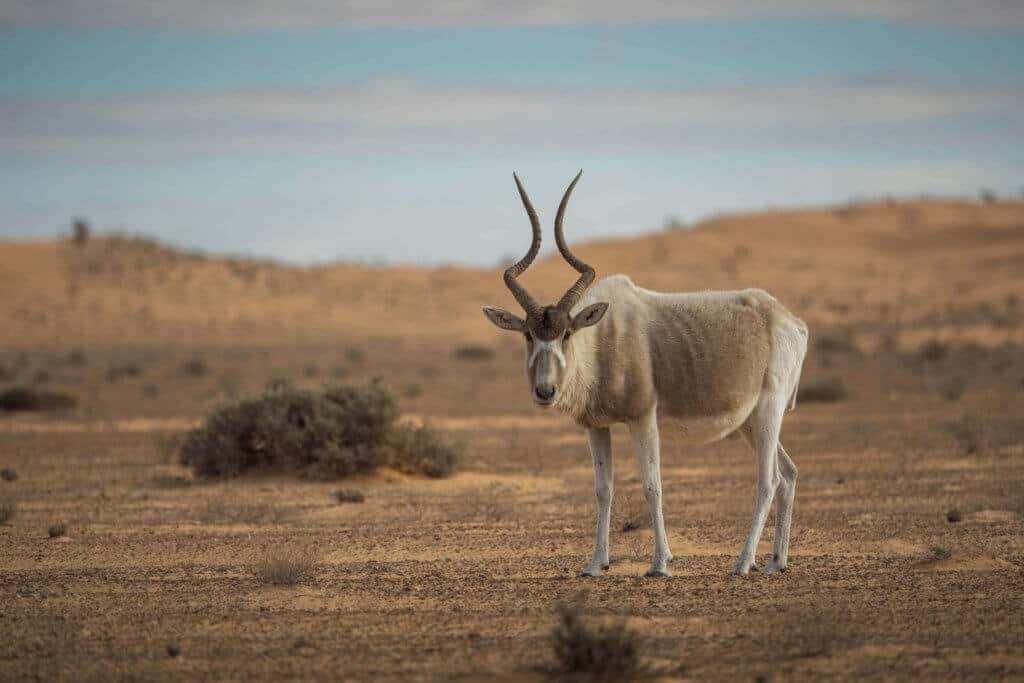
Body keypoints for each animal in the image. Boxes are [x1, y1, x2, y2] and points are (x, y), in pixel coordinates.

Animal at [479, 171, 806, 577]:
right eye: (528, 334)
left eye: (566, 333)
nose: (545, 391)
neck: (602, 340)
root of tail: (789, 320)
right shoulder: (596, 427)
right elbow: (603, 489)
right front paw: (595, 564)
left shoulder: (642, 419)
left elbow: (652, 485)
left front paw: (660, 564)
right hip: (749, 422)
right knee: (788, 474)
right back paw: (776, 562)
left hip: (768, 411)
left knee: (769, 479)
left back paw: (743, 562)